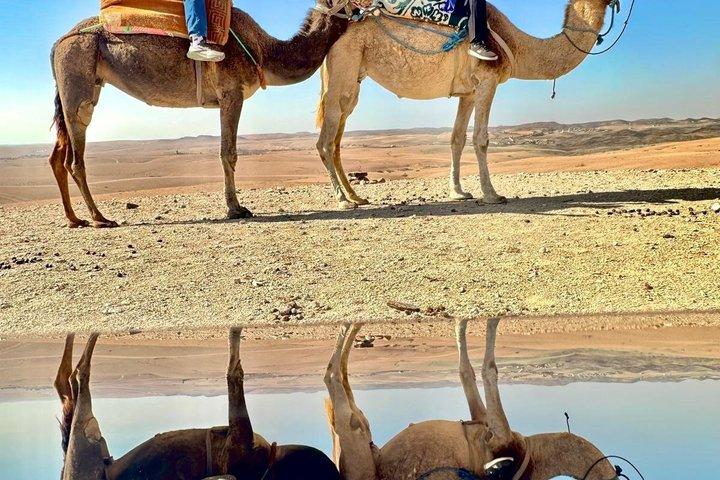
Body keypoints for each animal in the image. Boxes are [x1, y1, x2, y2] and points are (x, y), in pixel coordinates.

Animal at [49, 1, 349, 228]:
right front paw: (235, 208)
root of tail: (58, 43)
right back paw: (100, 218)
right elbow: (229, 153)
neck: (264, 52)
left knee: (58, 156)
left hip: (82, 85)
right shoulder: (232, 93)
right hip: (77, 72)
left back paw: (74, 219)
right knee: (75, 153)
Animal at [54, 329, 340, 480]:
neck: (268, 462)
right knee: (68, 382)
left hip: (85, 448)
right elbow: (234, 370)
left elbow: (234, 372)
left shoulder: (241, 446)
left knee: (77, 379)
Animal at [316, 0, 620, 209]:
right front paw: (492, 194)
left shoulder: (468, 93)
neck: (516, 45)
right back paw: (343, 200)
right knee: (326, 140)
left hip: (350, 79)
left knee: (338, 133)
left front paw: (459, 192)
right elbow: (481, 139)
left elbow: (457, 139)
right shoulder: (487, 80)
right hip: (344, 67)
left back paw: (356, 195)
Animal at [324, 318, 621, 480]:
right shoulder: (487, 427)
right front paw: (466, 320)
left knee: (336, 387)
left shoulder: (496, 436)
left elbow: (486, 369)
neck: (532, 452)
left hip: (359, 451)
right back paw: (356, 323)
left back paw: (352, 323)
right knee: (339, 384)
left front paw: (490, 318)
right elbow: (468, 372)